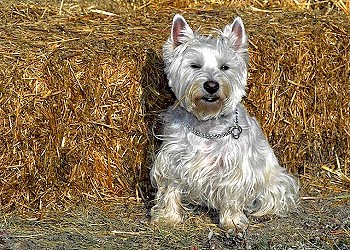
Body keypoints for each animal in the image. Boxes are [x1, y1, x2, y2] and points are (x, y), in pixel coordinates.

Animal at [149, 14, 300, 230]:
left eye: (224, 67)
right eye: (195, 66)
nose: (211, 85)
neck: (206, 123)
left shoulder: (234, 167)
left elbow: (231, 194)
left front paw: (232, 221)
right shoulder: (172, 159)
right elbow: (170, 188)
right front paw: (168, 217)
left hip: (277, 181)